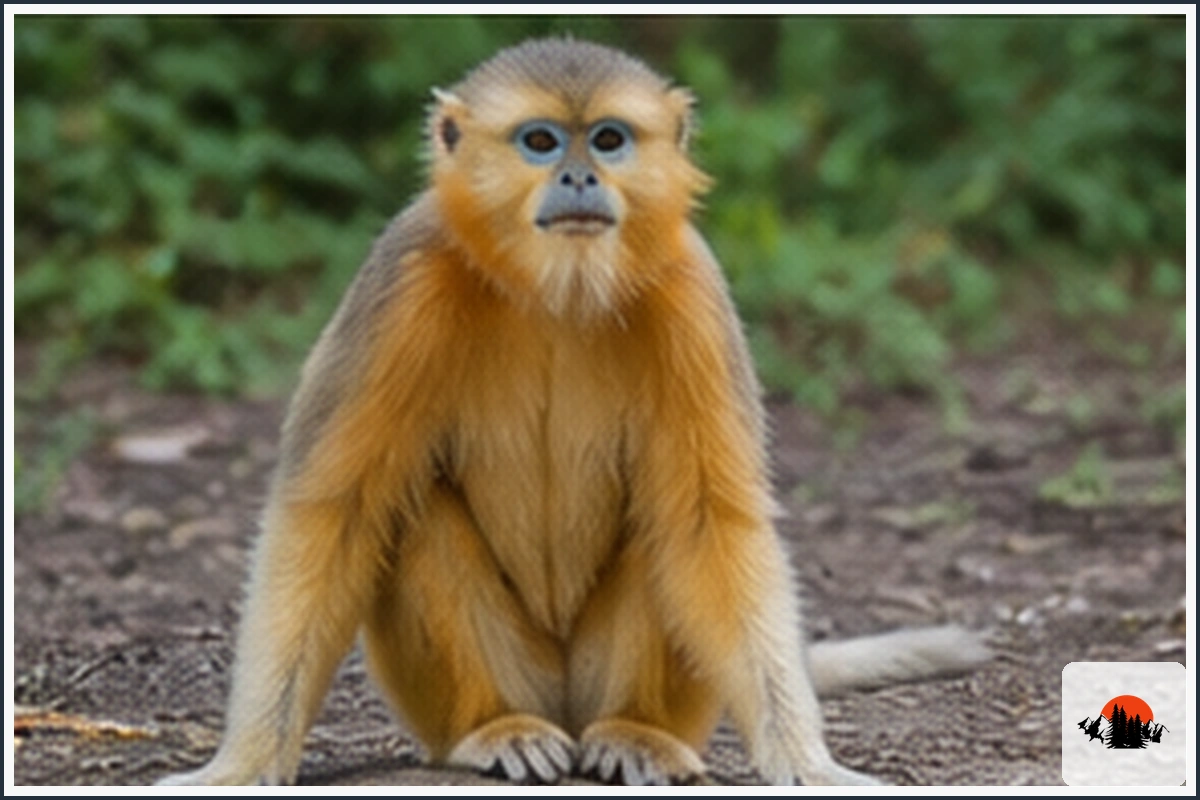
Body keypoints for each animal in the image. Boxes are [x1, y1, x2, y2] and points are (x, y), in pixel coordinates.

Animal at [156, 38, 988, 787]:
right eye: (541, 142)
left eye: (609, 140)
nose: (580, 174)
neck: (557, 289)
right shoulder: (403, 274)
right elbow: (334, 509)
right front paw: (243, 765)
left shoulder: (690, 288)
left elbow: (708, 520)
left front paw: (804, 761)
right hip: (489, 689)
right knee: (410, 510)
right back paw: (496, 729)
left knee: (664, 524)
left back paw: (637, 734)